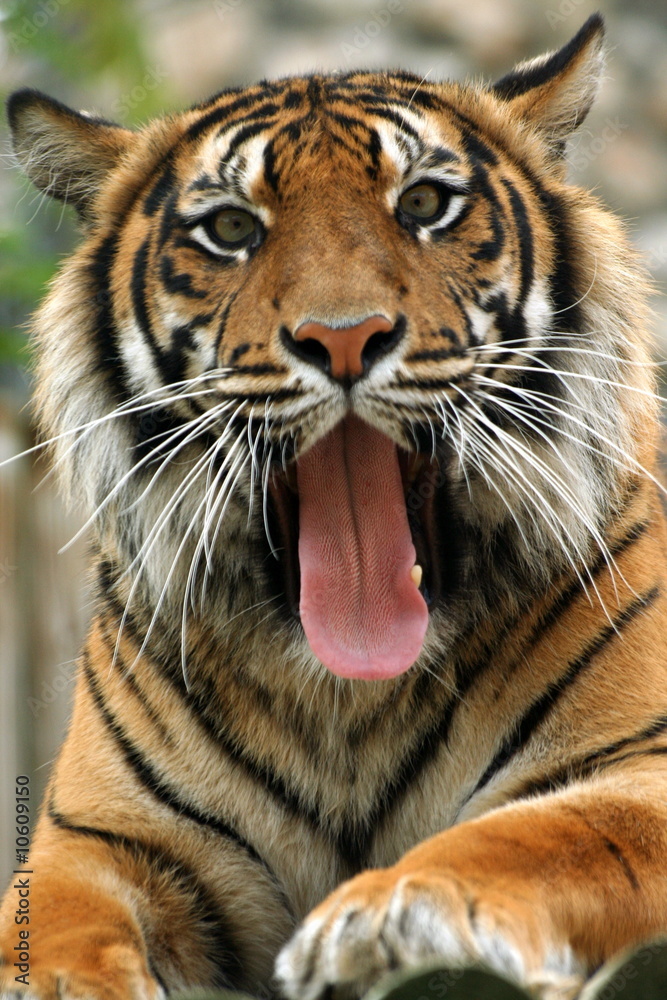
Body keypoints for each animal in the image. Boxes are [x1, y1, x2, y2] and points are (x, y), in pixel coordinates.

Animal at [2, 12, 667, 1000]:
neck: (345, 704)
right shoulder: (94, 839)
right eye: (230, 228)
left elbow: (539, 833)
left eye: (423, 204)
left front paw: (383, 918)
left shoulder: (641, 768)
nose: (344, 338)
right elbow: (53, 935)